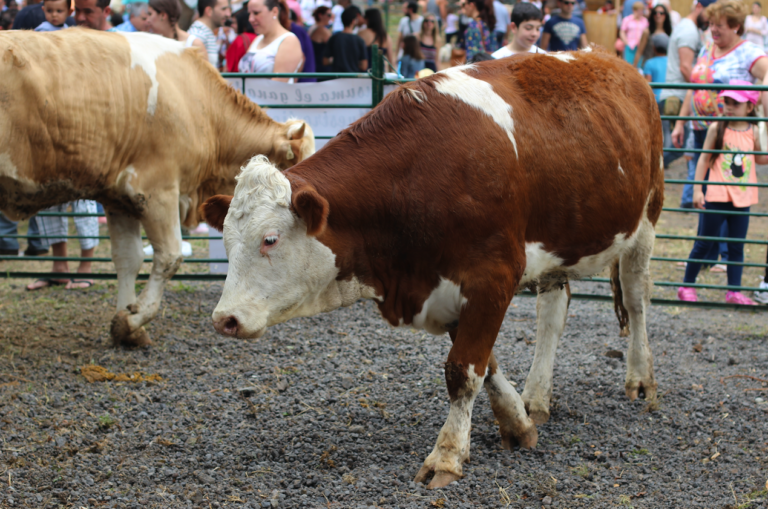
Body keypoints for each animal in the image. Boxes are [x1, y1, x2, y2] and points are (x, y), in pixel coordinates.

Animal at [0, 27, 316, 346]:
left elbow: (128, 258)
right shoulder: (156, 189)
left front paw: (127, 322)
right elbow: (169, 256)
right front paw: (134, 318)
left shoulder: (117, 198)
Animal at [201, 51, 664, 488]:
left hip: (646, 219)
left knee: (637, 300)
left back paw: (641, 379)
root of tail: (615, 62)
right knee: (552, 314)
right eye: (226, 239)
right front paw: (517, 421)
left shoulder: (492, 278)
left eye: (270, 239)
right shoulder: (448, 289)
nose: (225, 319)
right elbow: (487, 365)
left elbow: (463, 371)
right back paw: (537, 397)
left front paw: (447, 456)